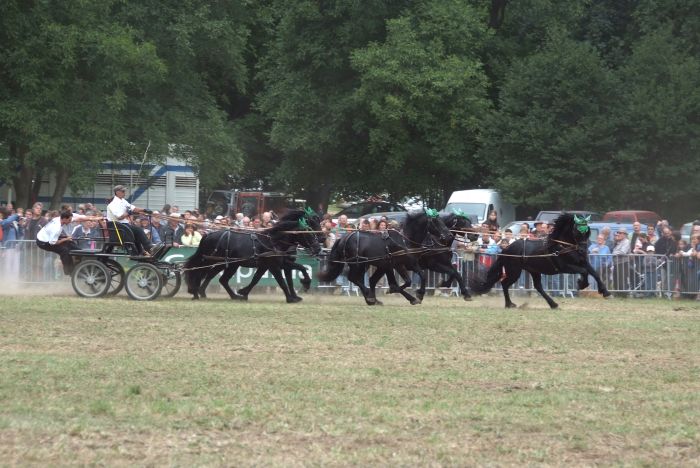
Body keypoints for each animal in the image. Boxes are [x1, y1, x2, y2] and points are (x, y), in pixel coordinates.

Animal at [182, 210, 322, 302]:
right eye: (309, 233)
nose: (319, 247)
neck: (273, 241)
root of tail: (208, 235)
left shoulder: (272, 264)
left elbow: (257, 279)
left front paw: (244, 292)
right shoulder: (274, 266)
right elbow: (281, 281)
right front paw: (291, 297)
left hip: (229, 264)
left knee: (218, 278)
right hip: (214, 261)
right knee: (200, 272)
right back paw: (196, 292)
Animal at [318, 212, 452, 308]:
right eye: (436, 221)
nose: (449, 235)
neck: (405, 240)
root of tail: (343, 238)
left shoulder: (404, 265)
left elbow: (416, 278)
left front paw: (415, 295)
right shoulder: (400, 265)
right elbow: (407, 281)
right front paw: (417, 296)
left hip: (370, 265)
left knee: (368, 280)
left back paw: (373, 299)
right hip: (358, 264)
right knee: (354, 278)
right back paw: (370, 297)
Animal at [470, 211, 612, 308]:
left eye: (587, 231)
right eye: (577, 231)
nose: (583, 250)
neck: (563, 246)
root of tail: (506, 248)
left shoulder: (582, 261)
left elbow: (594, 273)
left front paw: (605, 291)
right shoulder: (565, 267)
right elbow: (584, 271)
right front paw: (581, 283)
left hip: (534, 271)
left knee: (538, 287)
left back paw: (553, 304)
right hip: (514, 271)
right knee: (505, 283)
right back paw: (510, 304)